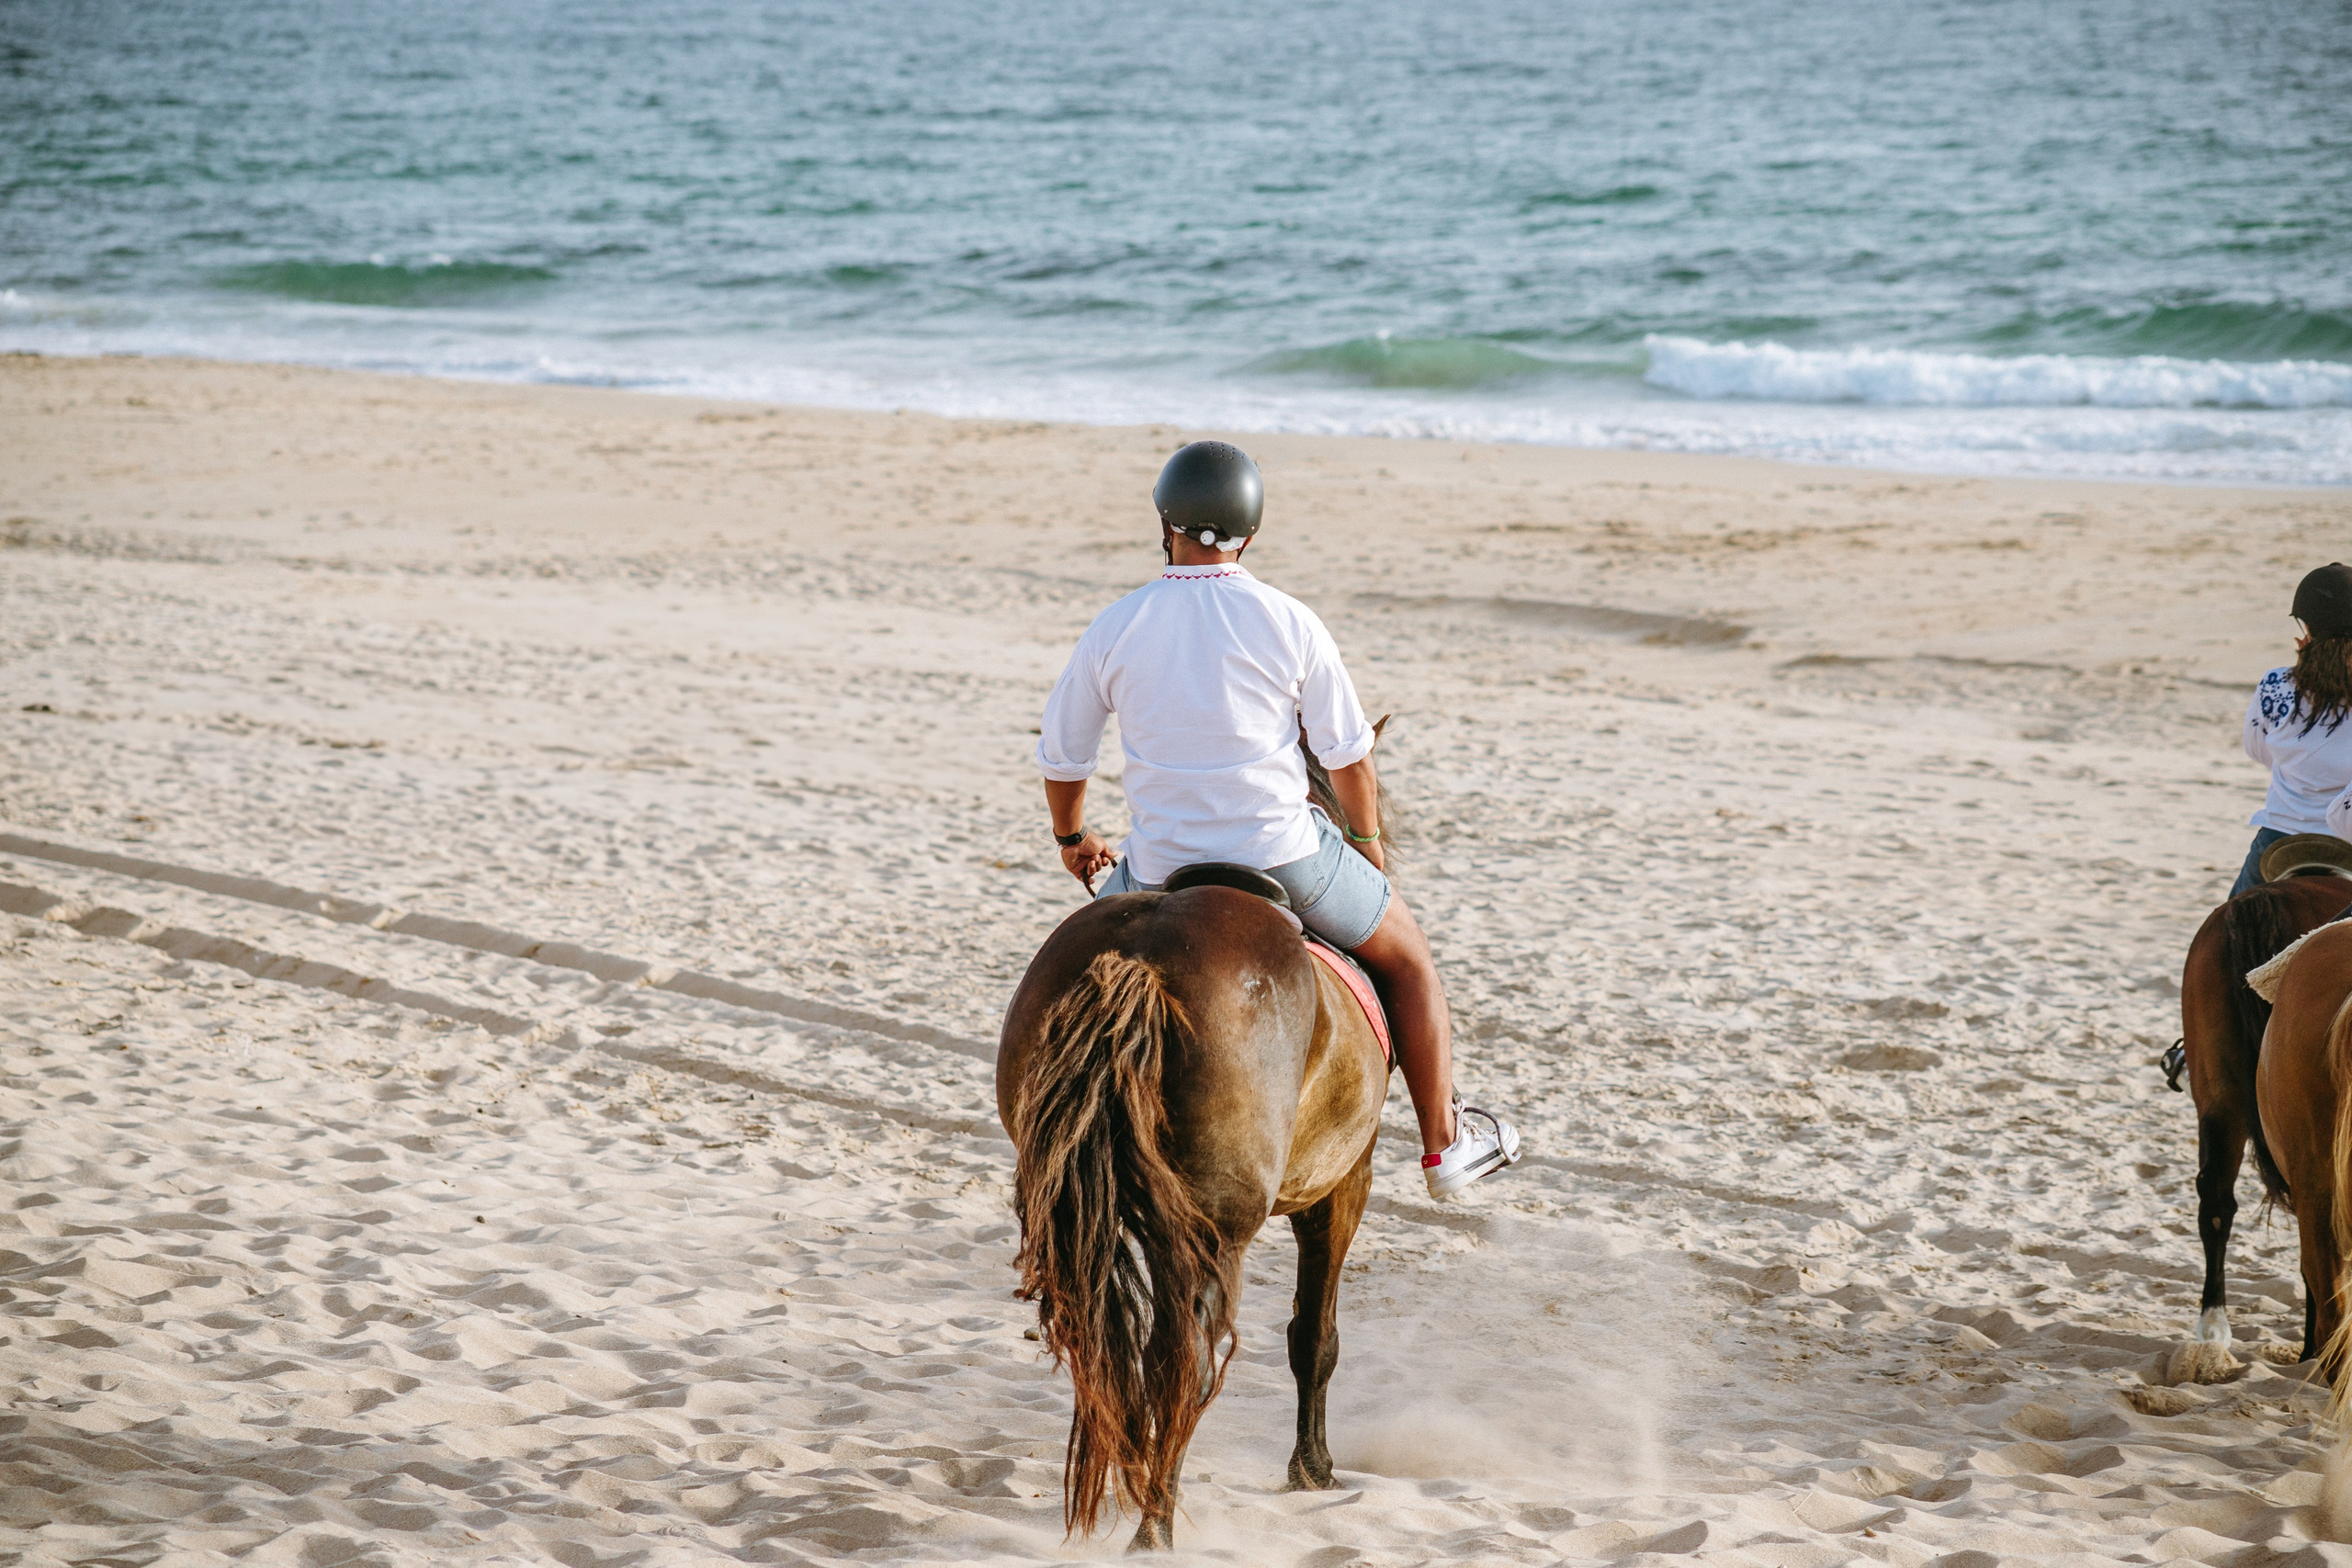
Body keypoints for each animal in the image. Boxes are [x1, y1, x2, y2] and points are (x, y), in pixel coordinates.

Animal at [996, 741, 1397, 1551]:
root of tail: (1144, 958)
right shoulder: (1343, 1188)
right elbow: (1315, 1336)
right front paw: (1312, 1467)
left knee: (1111, 1349)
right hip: (1218, 1231)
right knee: (1184, 1357)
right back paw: (1156, 1524)